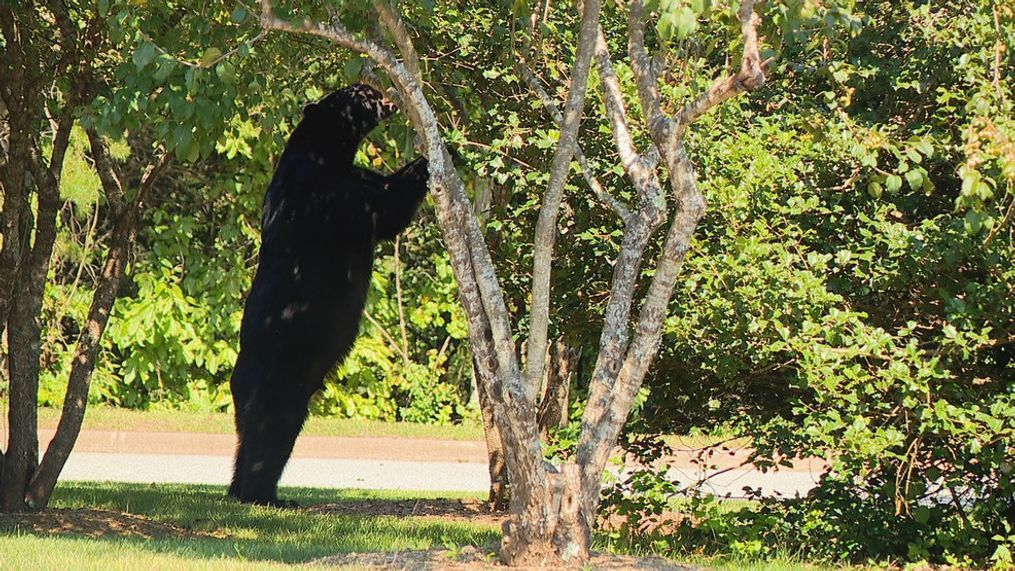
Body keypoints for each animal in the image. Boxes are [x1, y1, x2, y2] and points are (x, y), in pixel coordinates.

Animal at [229, 83, 428, 505]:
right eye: (355, 94)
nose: (375, 88)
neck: (323, 153)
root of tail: (237, 379)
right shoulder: (331, 197)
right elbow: (384, 210)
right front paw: (432, 158)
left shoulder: (352, 175)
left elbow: (381, 194)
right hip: (282, 374)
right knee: (272, 433)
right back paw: (264, 494)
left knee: (246, 437)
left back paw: (239, 489)